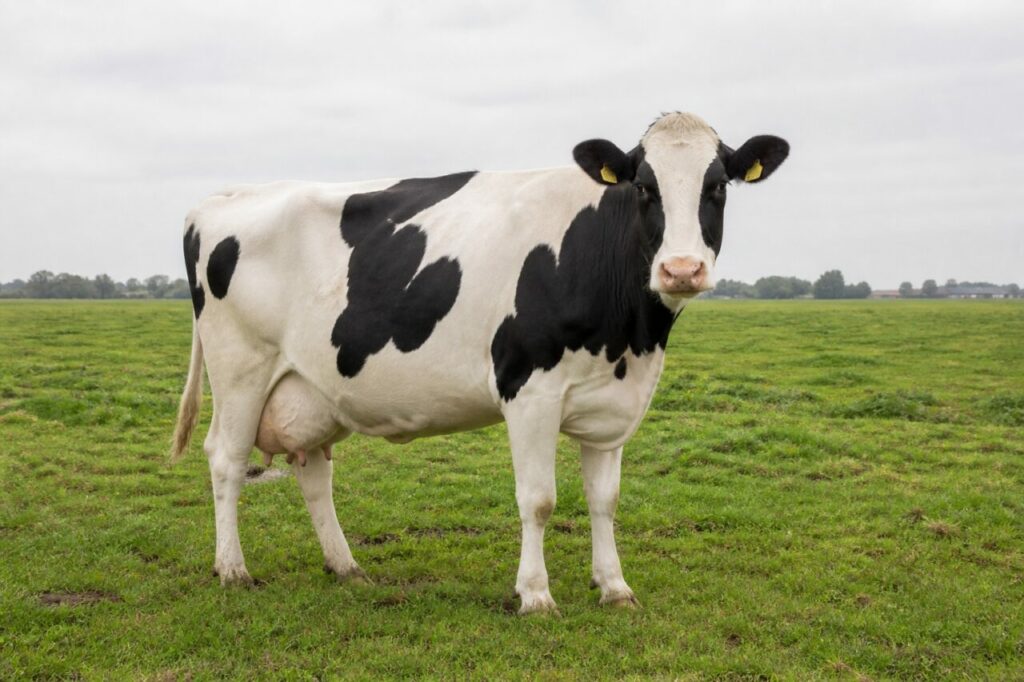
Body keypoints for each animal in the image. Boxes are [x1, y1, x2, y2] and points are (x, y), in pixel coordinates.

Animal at [170, 112, 789, 614]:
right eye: (643, 186)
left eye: (718, 186)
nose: (681, 269)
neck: (631, 339)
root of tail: (217, 201)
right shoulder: (529, 390)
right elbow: (538, 500)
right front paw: (535, 595)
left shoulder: (613, 404)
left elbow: (605, 501)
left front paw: (614, 587)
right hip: (241, 368)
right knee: (225, 460)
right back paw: (233, 570)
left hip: (312, 385)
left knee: (314, 472)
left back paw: (347, 567)